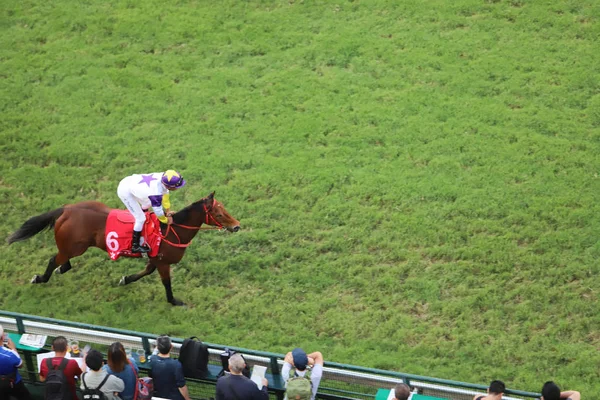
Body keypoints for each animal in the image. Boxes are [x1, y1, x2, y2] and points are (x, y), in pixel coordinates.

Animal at [7, 192, 239, 304]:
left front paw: (125, 279)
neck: (172, 230)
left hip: (74, 246)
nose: (236, 226)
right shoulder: (163, 262)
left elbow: (145, 272)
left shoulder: (154, 259)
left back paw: (61, 269)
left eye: (225, 209)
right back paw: (40, 278)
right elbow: (166, 283)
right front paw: (173, 301)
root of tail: (67, 209)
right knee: (54, 259)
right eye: (219, 214)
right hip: (75, 247)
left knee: (62, 260)